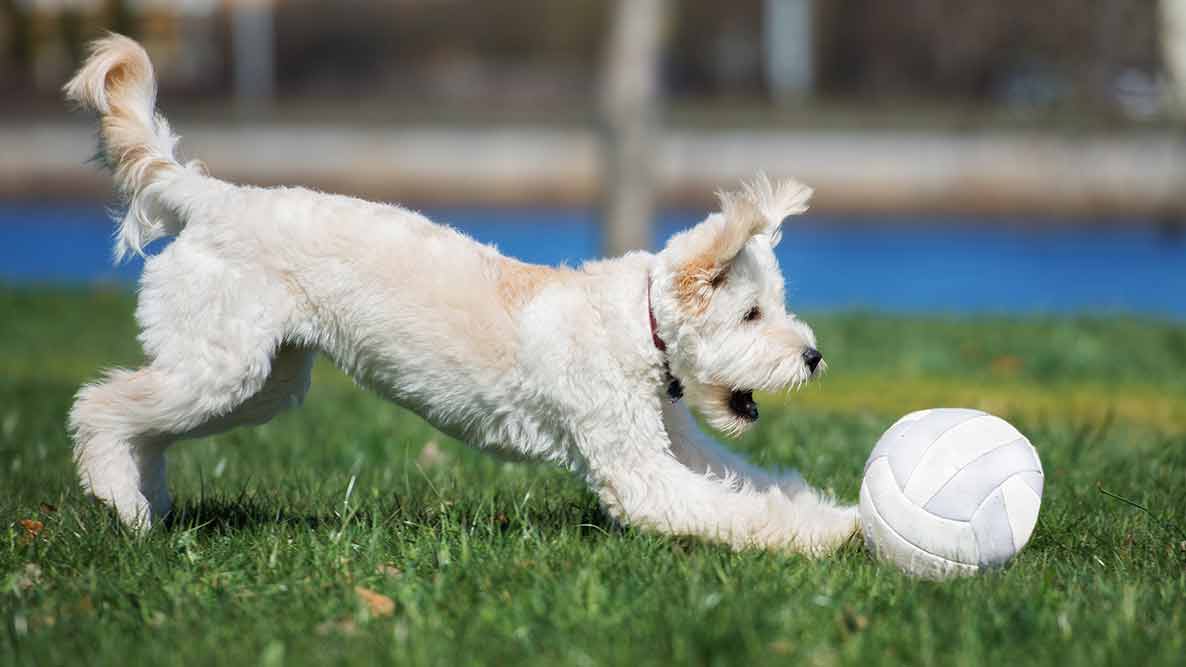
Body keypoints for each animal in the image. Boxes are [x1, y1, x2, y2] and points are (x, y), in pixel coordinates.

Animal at [64, 33, 858, 550]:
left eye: (779, 306)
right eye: (751, 313)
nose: (815, 357)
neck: (638, 324)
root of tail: (211, 197)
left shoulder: (681, 444)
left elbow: (753, 483)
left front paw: (840, 516)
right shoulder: (636, 465)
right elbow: (737, 510)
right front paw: (831, 539)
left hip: (258, 381)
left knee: (147, 422)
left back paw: (145, 503)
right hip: (222, 367)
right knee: (99, 406)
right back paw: (120, 502)